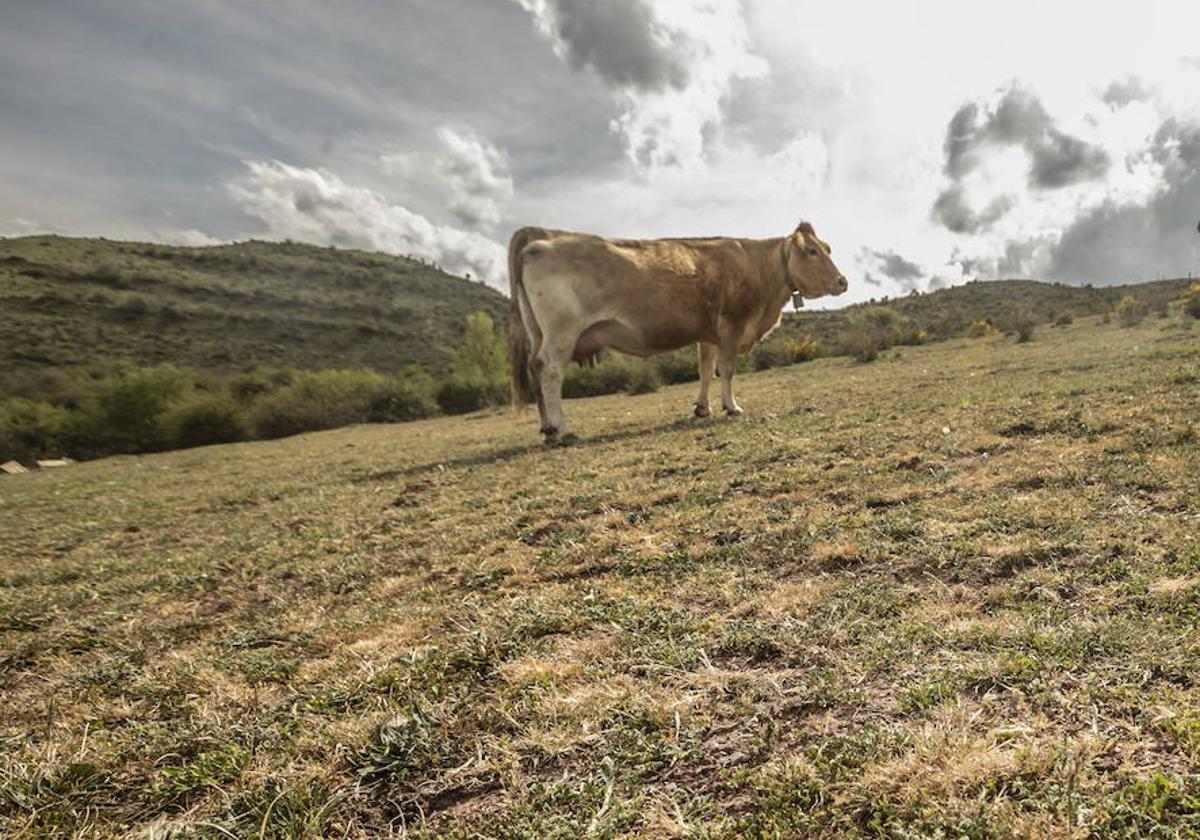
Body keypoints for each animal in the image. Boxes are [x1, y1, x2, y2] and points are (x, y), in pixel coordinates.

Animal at [511, 223, 849, 446]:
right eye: (811, 251)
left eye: (829, 248)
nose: (843, 281)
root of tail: (539, 239)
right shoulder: (732, 327)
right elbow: (727, 370)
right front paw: (731, 407)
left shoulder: (708, 334)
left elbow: (705, 369)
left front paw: (702, 408)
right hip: (561, 334)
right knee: (550, 372)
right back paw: (560, 429)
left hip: (538, 333)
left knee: (535, 370)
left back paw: (546, 428)